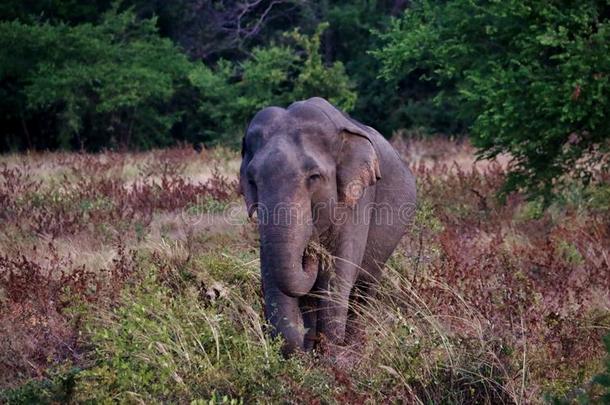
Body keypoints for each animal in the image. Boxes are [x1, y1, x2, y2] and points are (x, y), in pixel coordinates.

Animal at [238, 96, 414, 352]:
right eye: (252, 180)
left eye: (314, 177)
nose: (311, 252)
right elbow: (272, 276)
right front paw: (299, 354)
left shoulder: (358, 198)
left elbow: (337, 277)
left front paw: (332, 355)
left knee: (363, 289)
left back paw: (354, 345)